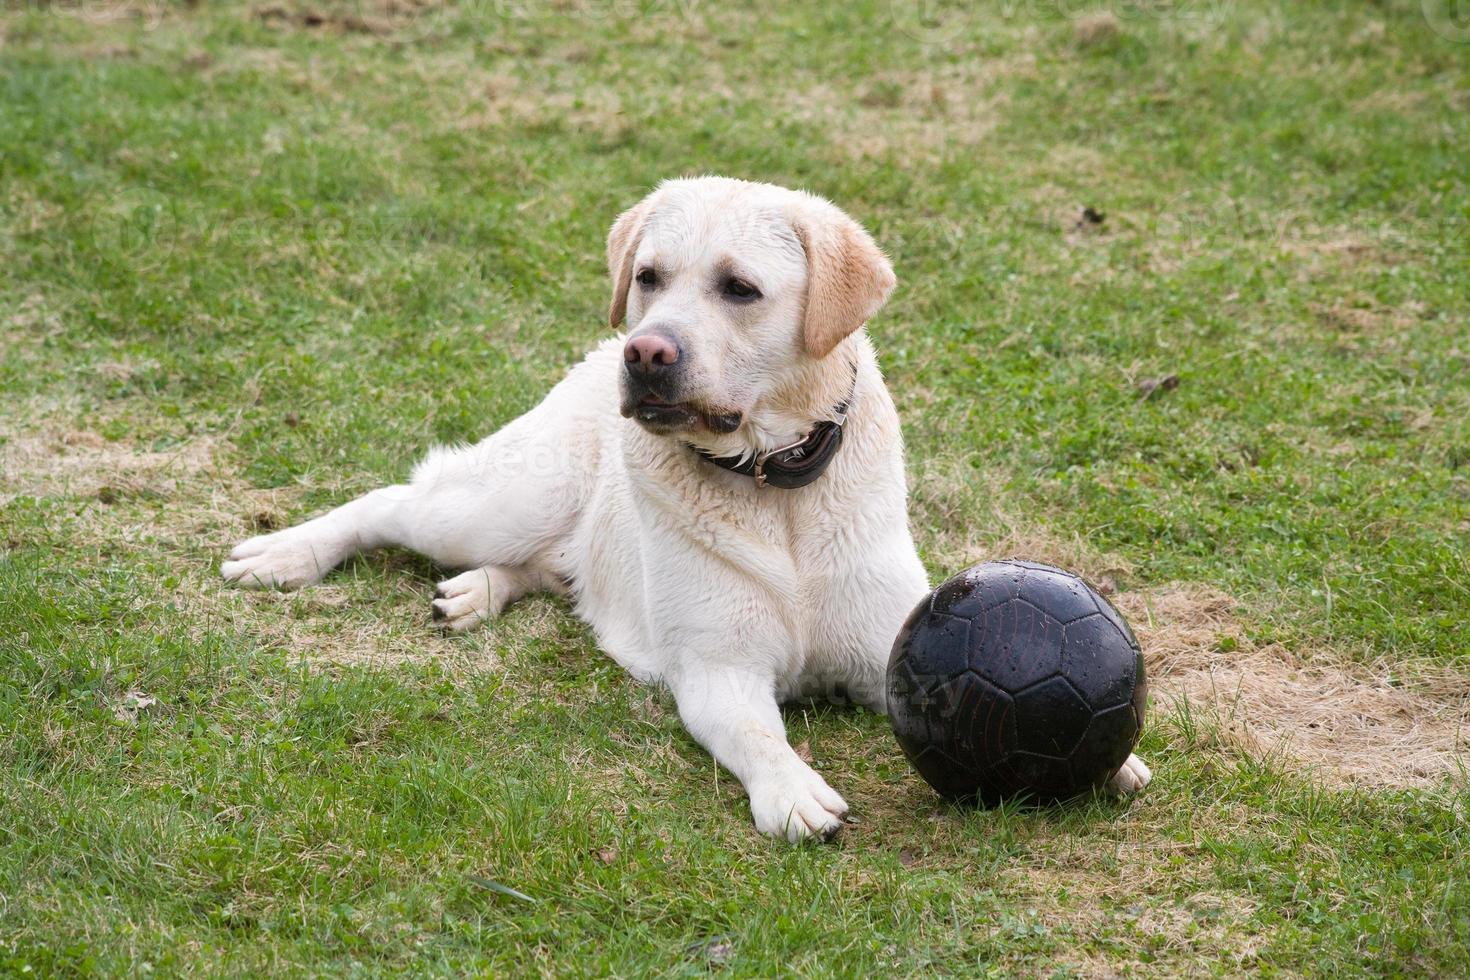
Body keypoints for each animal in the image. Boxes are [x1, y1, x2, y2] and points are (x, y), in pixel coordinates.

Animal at [223, 178, 1152, 846]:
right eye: (650, 277)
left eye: (740, 288)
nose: (646, 351)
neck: (777, 487)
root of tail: (592, 355)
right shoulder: (718, 672)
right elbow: (759, 735)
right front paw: (793, 791)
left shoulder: (884, 650)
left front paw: (1114, 762)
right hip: (499, 502)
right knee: (394, 500)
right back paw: (286, 555)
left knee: (555, 568)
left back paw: (478, 591)